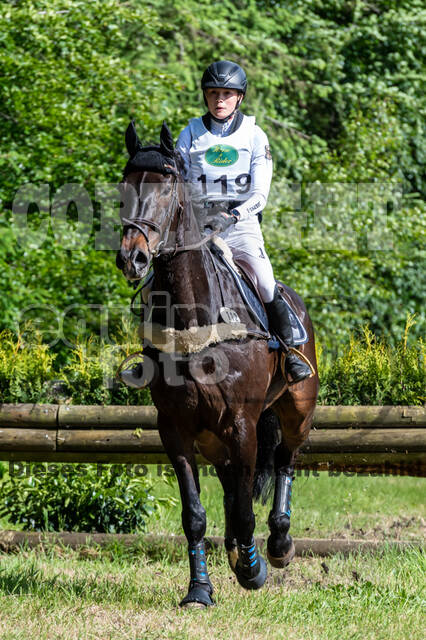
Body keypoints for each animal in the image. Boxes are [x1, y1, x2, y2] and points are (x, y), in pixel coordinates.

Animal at [116, 121, 319, 607]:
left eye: (167, 188)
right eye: (124, 186)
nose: (132, 257)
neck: (195, 314)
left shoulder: (243, 422)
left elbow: (246, 509)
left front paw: (253, 569)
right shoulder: (176, 428)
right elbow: (195, 514)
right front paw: (199, 590)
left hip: (295, 411)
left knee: (285, 460)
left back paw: (278, 545)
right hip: (213, 435)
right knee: (232, 484)